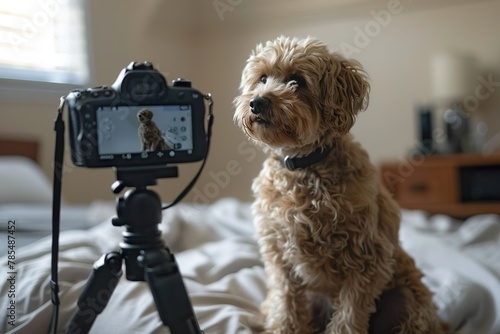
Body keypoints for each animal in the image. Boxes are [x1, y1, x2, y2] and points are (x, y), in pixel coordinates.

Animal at [234, 35, 450, 332]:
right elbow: (286, 304)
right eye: (262, 78)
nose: (257, 102)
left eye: (297, 81)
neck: (304, 166)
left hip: (407, 300)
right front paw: (282, 327)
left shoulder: (367, 259)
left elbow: (348, 317)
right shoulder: (279, 257)